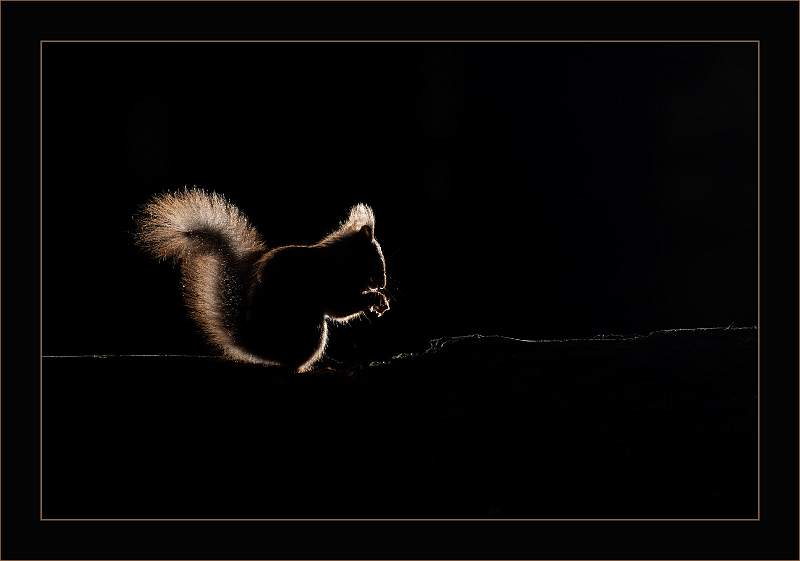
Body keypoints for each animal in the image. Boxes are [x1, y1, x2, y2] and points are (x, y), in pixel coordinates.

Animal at [135, 188, 389, 373]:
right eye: (376, 259)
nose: (383, 283)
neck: (340, 260)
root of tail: (258, 345)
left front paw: (380, 301)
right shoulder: (330, 282)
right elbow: (341, 308)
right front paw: (376, 299)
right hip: (309, 329)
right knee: (291, 364)